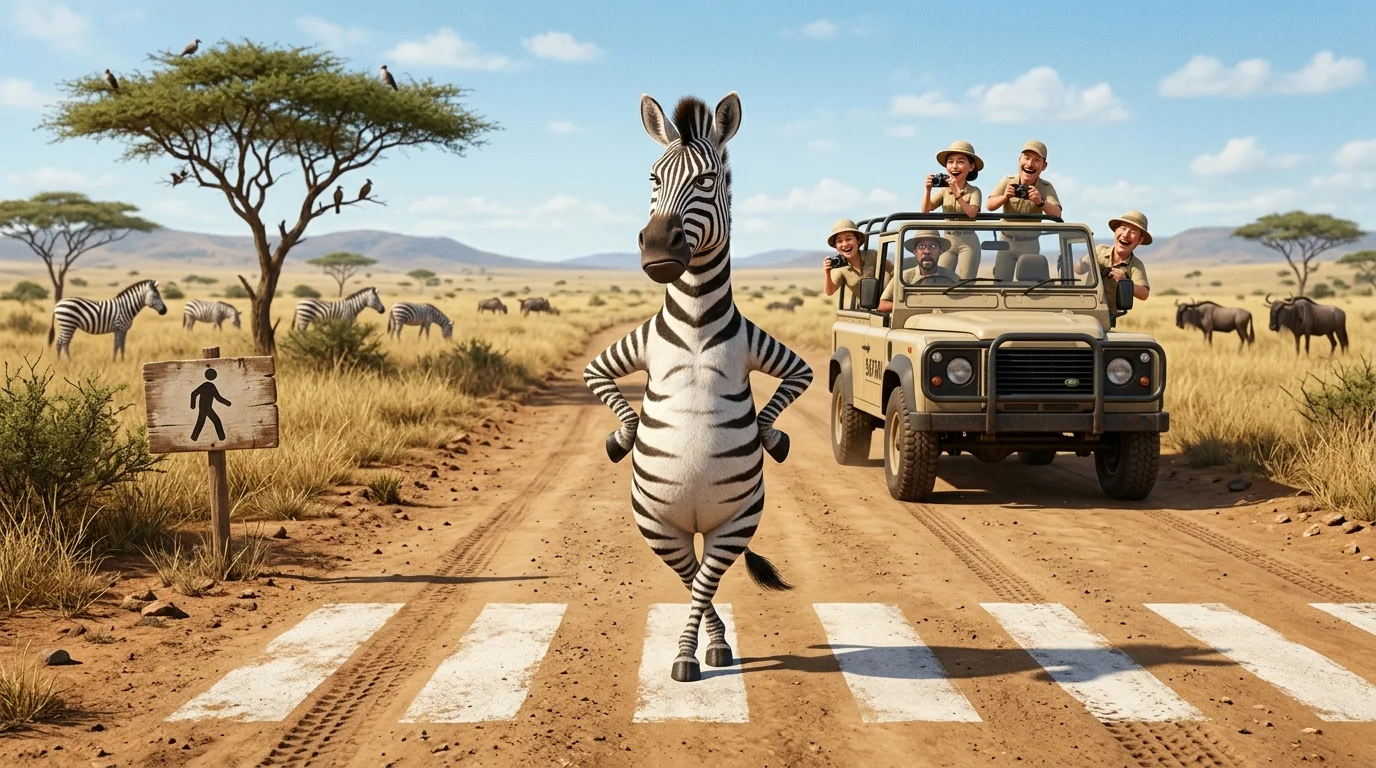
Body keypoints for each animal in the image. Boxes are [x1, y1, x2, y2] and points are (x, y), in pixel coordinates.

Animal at [583, 92, 813, 684]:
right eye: (652, 178)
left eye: (707, 180)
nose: (656, 245)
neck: (691, 325)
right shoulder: (622, 354)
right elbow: (609, 392)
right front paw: (623, 438)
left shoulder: (775, 353)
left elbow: (784, 395)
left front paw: (772, 439)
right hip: (660, 523)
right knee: (693, 577)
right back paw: (705, 644)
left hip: (734, 520)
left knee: (704, 578)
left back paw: (700, 651)